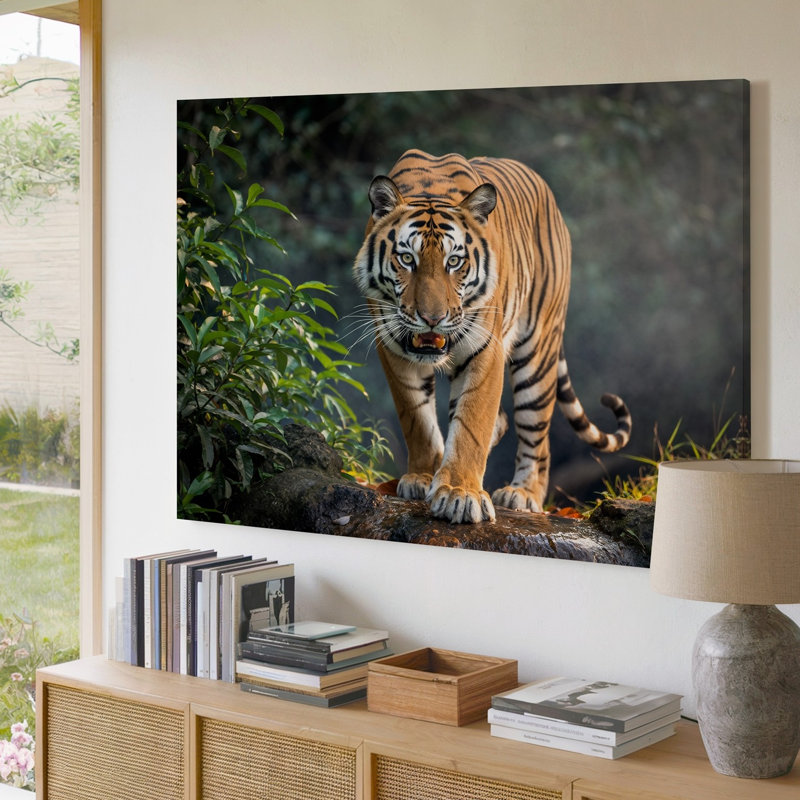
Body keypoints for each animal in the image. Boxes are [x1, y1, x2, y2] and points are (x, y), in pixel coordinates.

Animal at [353, 149, 631, 524]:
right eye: (407, 259)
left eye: (454, 262)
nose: (432, 318)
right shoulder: (393, 348)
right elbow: (417, 419)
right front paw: (422, 476)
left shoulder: (486, 349)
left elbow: (471, 424)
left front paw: (459, 494)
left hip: (537, 356)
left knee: (536, 435)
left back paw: (523, 493)